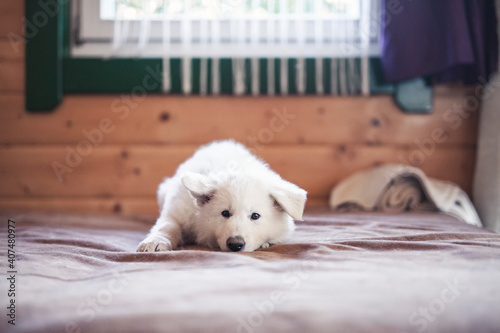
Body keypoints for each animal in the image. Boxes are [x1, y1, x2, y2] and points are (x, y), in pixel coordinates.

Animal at [138, 140, 308, 252]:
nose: (235, 245)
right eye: (225, 213)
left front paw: (266, 243)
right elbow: (166, 226)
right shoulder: (177, 211)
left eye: (255, 216)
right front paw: (155, 241)